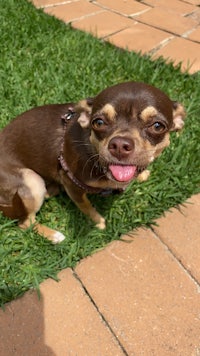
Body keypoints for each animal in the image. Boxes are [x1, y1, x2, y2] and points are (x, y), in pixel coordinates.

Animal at [0, 81, 185, 242]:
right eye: (99, 122)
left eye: (157, 126)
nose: (119, 145)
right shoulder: (71, 183)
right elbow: (87, 207)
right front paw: (99, 222)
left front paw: (142, 175)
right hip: (31, 180)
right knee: (25, 223)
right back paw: (54, 236)